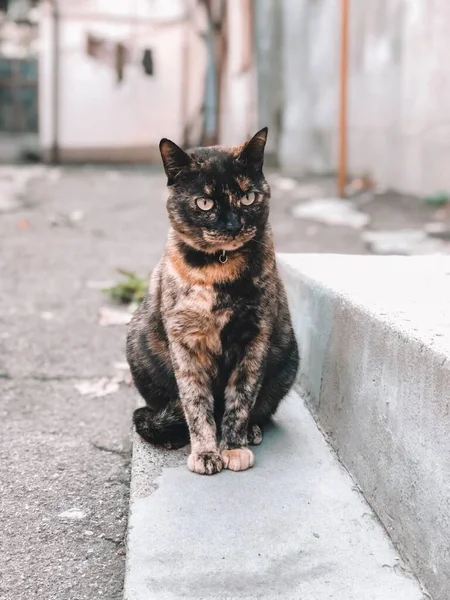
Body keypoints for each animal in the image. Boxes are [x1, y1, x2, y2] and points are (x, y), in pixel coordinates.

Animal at [125, 126, 298, 474]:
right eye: (204, 202)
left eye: (247, 196)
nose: (232, 225)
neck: (219, 267)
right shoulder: (185, 342)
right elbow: (195, 402)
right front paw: (205, 452)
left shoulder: (254, 338)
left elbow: (241, 399)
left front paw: (232, 447)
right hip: (138, 342)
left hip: (288, 356)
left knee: (261, 407)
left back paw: (252, 431)